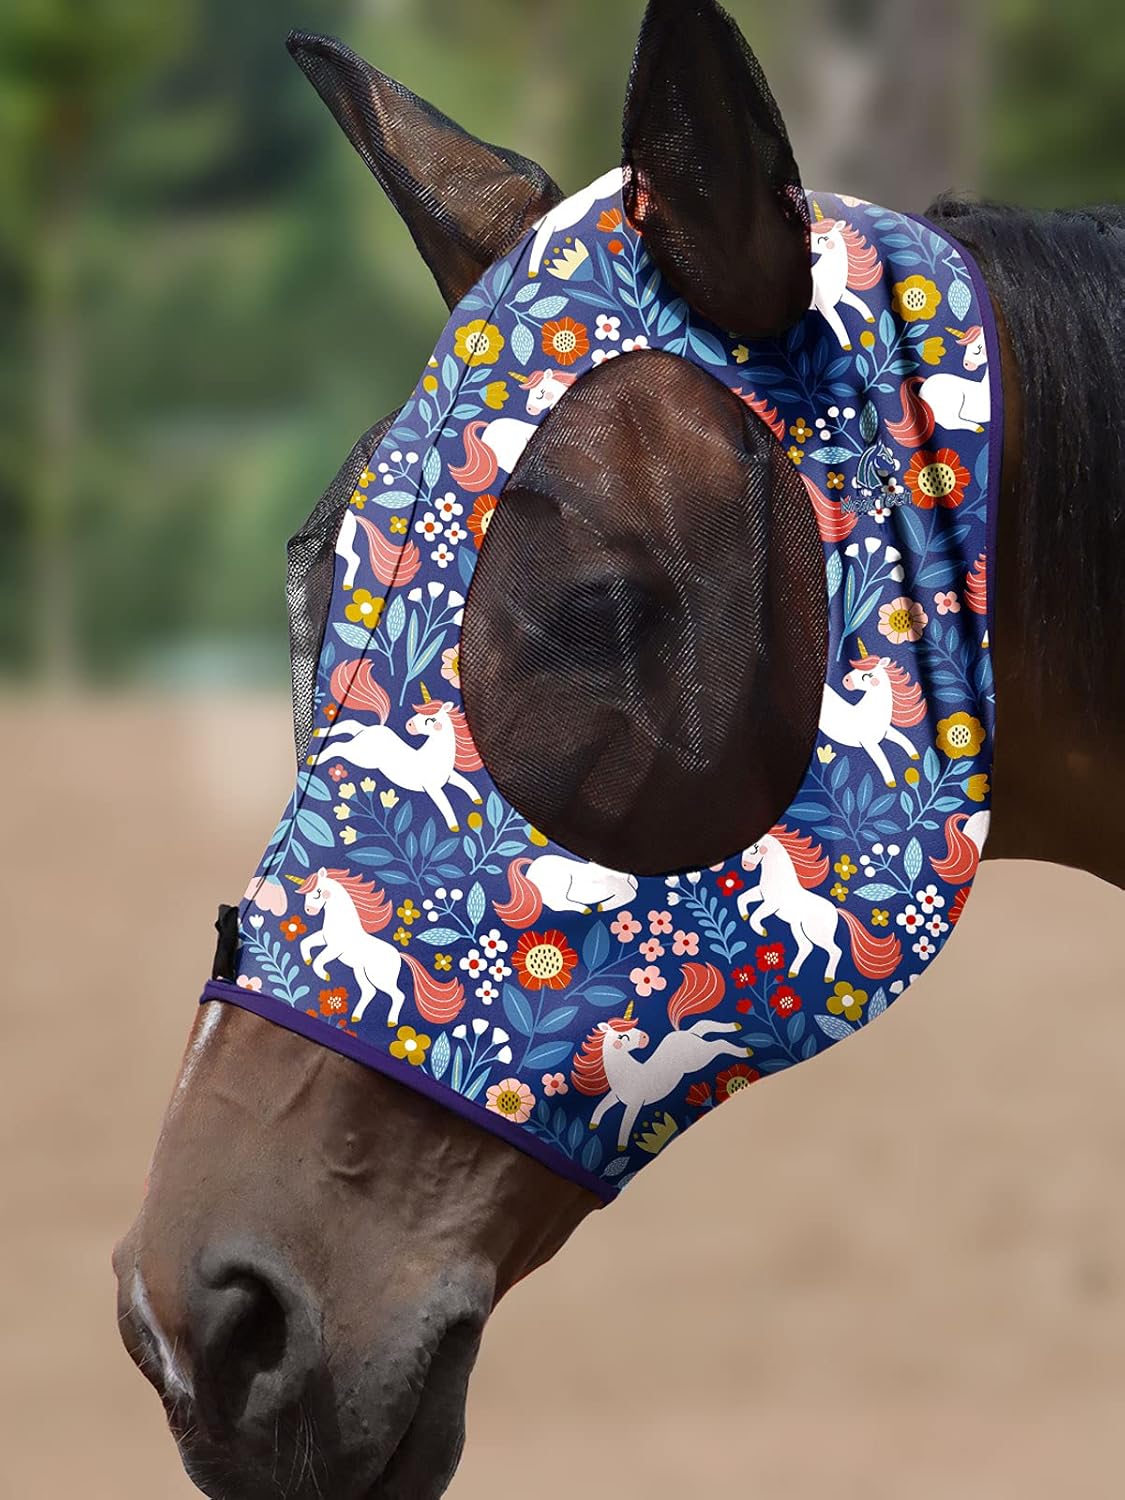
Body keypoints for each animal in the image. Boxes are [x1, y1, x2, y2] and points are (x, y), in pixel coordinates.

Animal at [297, 868, 465, 1026]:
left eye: (318, 892)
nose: (308, 910)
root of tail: (398, 954)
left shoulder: (335, 949)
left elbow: (319, 960)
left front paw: (324, 975)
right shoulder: (324, 939)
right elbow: (305, 942)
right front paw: (307, 960)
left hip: (379, 977)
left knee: (398, 995)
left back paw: (391, 1021)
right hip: (361, 971)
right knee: (369, 992)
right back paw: (356, 1017)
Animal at [309, 657, 484, 832]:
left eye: (431, 719)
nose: (409, 725)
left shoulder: (449, 778)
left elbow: (466, 783)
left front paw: (476, 798)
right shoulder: (432, 788)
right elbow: (445, 804)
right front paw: (454, 825)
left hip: (360, 739)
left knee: (350, 725)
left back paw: (320, 732)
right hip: (360, 756)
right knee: (337, 746)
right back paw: (315, 757)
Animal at [571, 962, 748, 1150]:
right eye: (622, 1036)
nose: (645, 1037)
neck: (626, 1073)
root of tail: (682, 1035)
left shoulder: (635, 1104)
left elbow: (625, 1124)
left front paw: (621, 1145)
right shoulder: (616, 1097)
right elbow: (601, 1105)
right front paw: (594, 1123)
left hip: (700, 1057)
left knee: (719, 1043)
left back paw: (743, 1050)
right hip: (696, 1043)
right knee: (702, 1025)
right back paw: (734, 1026)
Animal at [736, 827, 902, 981]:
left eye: (755, 848)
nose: (744, 866)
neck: (779, 879)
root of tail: (835, 910)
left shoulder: (771, 904)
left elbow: (755, 916)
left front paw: (761, 931)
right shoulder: (761, 895)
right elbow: (742, 898)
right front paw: (744, 915)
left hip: (815, 932)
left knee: (835, 950)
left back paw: (828, 977)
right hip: (797, 927)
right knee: (806, 947)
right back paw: (793, 972)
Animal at [819, 649, 927, 786]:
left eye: (867, 675)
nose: (846, 680)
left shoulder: (886, 732)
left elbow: (903, 739)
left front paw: (914, 755)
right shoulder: (869, 743)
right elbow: (882, 760)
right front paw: (891, 781)